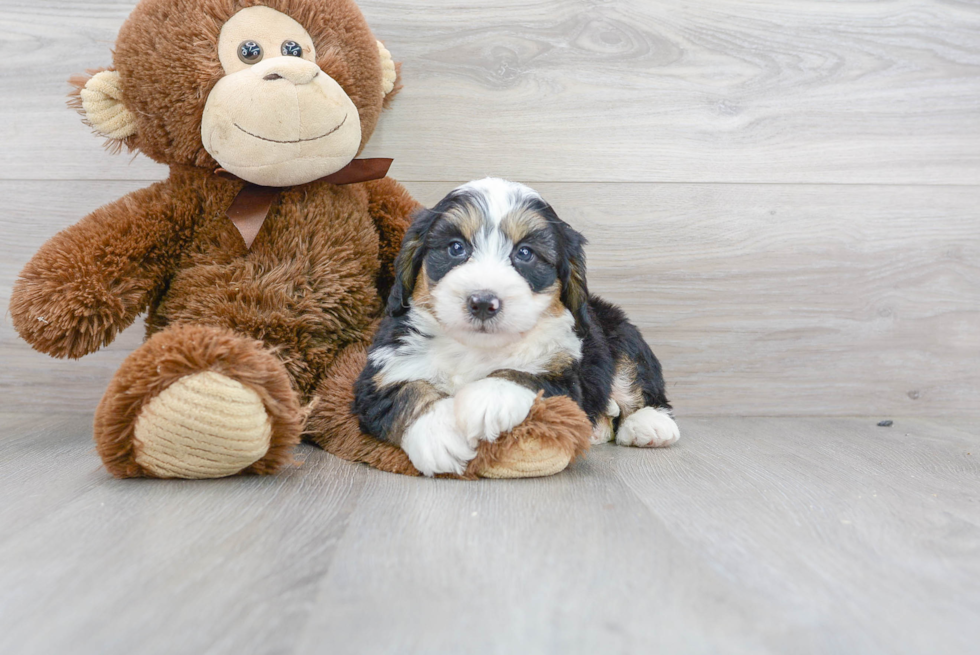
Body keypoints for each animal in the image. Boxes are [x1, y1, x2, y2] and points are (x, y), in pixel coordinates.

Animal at [352, 179, 680, 476]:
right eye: (456, 248)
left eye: (525, 253)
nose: (483, 302)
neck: (475, 348)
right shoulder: (379, 374)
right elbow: (407, 392)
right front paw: (438, 433)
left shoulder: (564, 375)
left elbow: (524, 376)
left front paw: (486, 399)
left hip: (622, 334)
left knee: (636, 383)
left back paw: (649, 423)